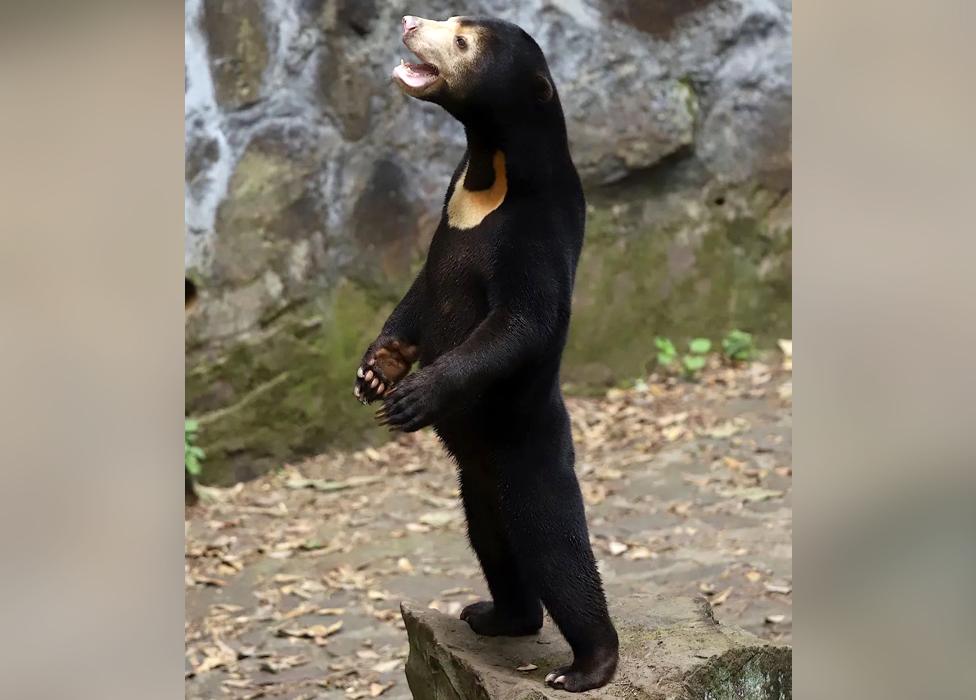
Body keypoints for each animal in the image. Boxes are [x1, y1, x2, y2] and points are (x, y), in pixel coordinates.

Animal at [354, 13, 616, 692]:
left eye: (461, 41)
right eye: (453, 20)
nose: (408, 21)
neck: (488, 168)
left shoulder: (535, 229)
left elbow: (520, 321)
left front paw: (413, 397)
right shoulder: (447, 211)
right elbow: (421, 292)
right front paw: (375, 373)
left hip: (527, 451)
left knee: (555, 548)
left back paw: (588, 666)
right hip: (477, 482)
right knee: (493, 540)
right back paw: (496, 615)